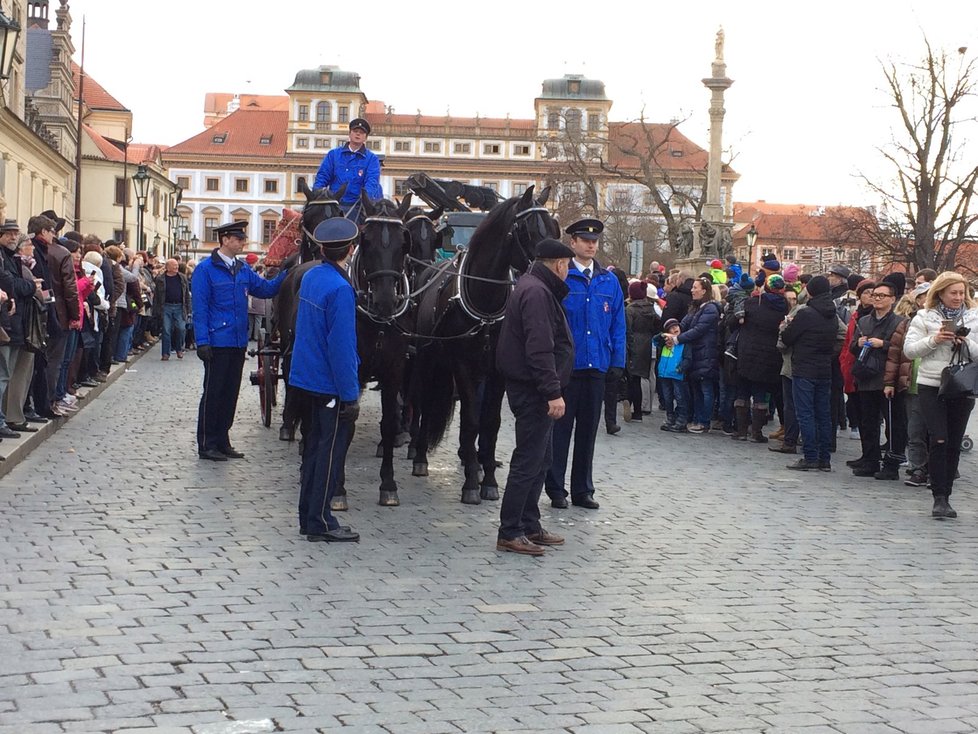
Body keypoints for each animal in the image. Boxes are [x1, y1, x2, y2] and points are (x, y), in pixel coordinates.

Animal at [406, 185, 556, 506]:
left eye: (553, 227)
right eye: (528, 230)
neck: (485, 301)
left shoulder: (497, 372)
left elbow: (490, 423)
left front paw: (487, 479)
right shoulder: (464, 366)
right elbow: (472, 420)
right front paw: (471, 484)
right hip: (427, 359)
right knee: (424, 402)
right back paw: (420, 454)